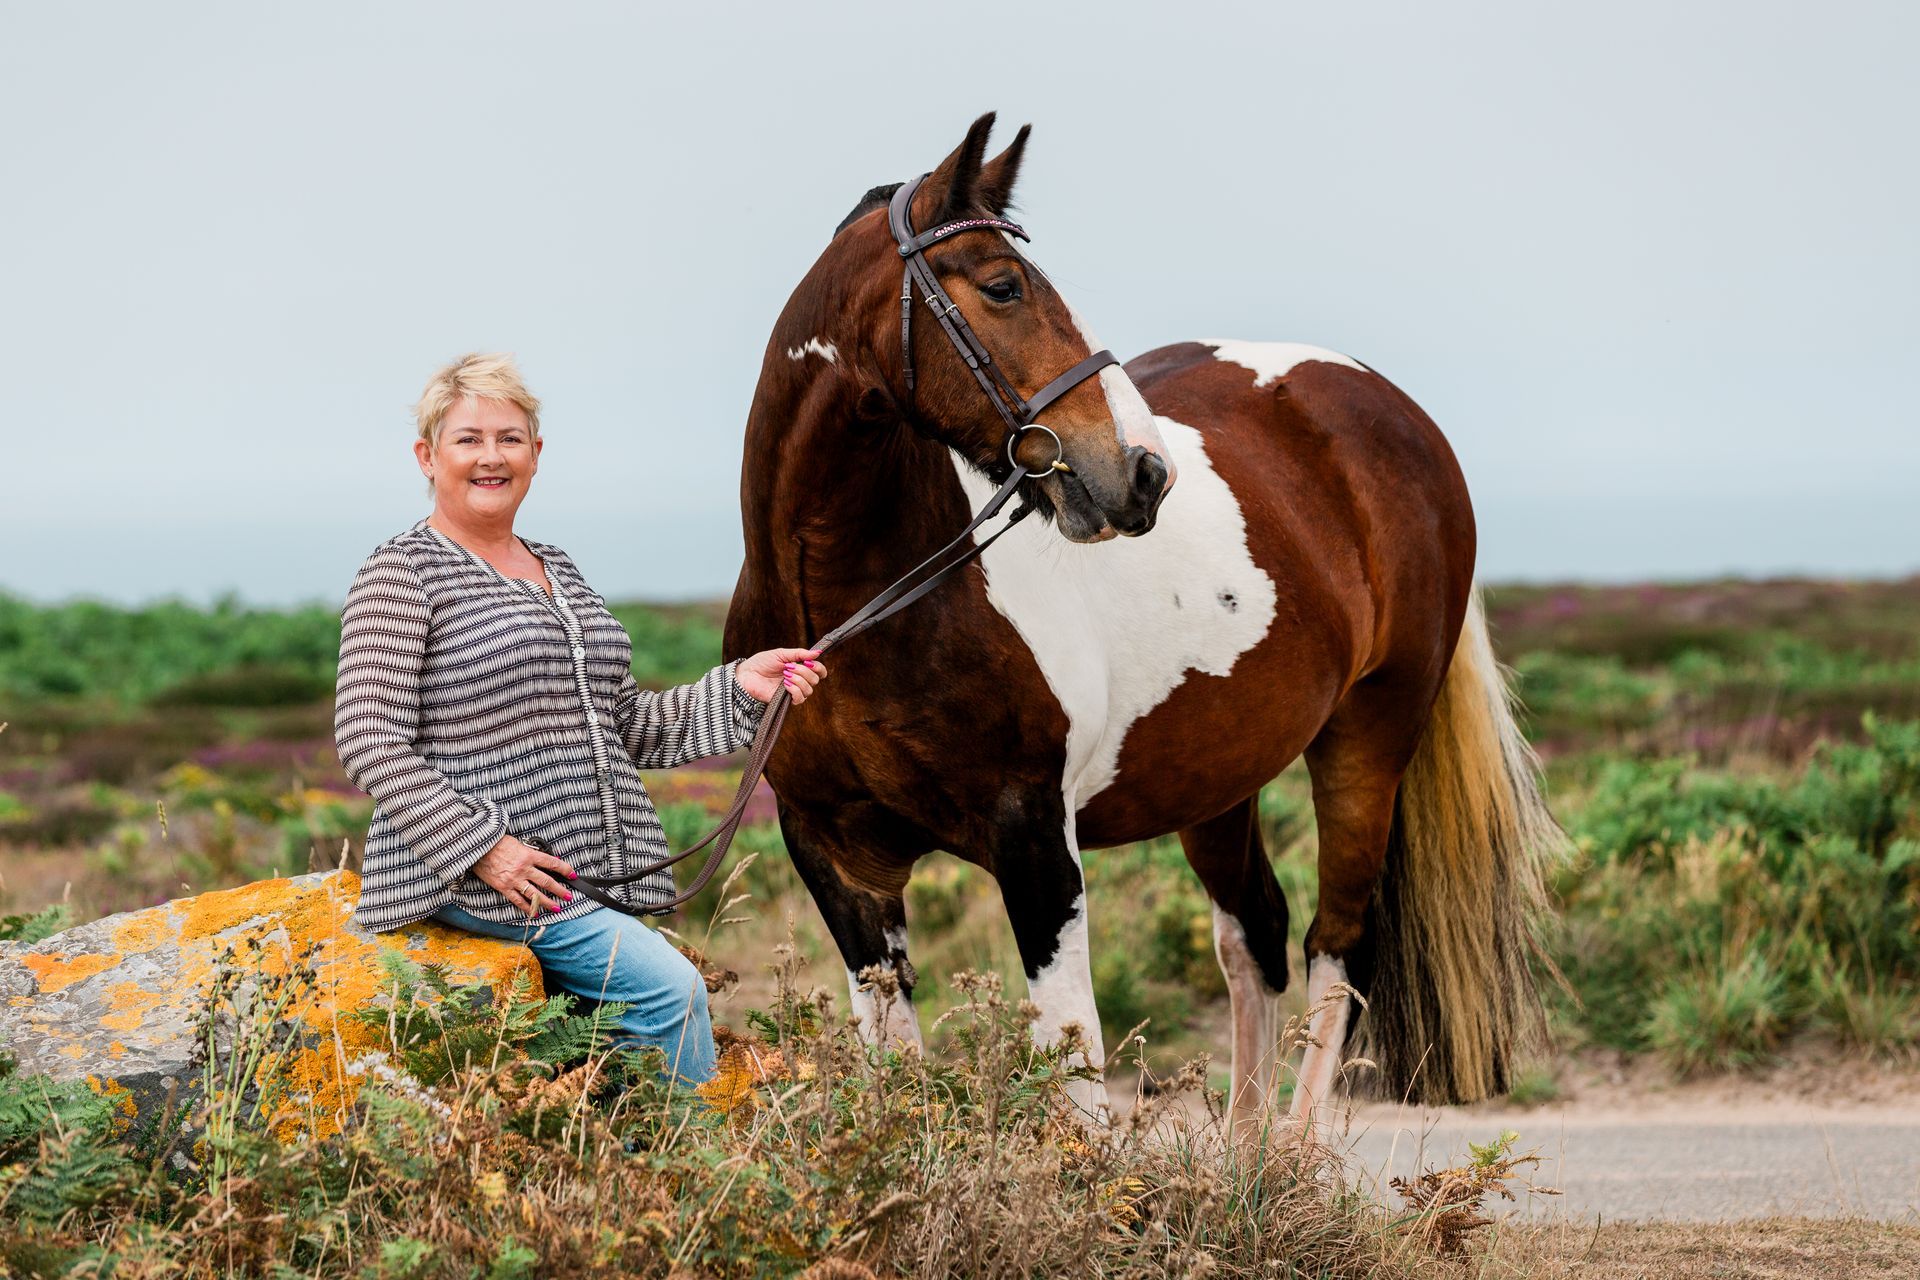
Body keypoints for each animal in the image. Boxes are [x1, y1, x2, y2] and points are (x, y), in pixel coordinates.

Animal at [723, 113, 1558, 1122]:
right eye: (1002, 287)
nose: (1145, 472)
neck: (857, 610)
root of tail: (1390, 410)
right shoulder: (841, 861)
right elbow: (898, 1071)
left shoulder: (1036, 844)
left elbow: (1074, 1065)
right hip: (1219, 773)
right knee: (1255, 937)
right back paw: (1243, 1160)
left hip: (1371, 735)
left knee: (1337, 946)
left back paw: (1294, 1156)